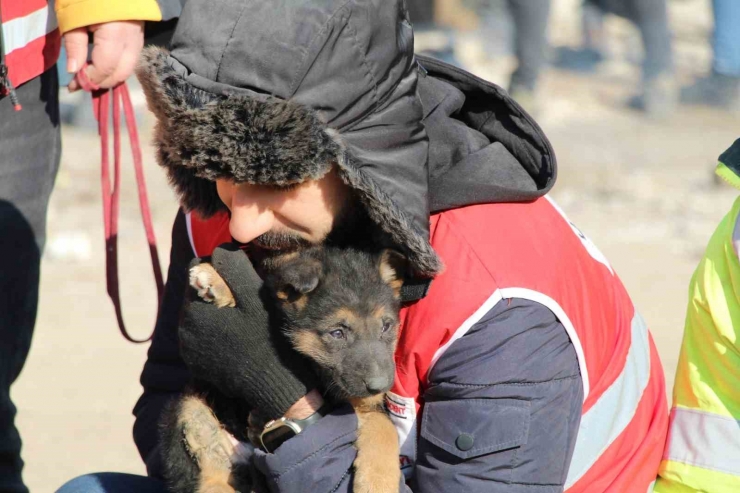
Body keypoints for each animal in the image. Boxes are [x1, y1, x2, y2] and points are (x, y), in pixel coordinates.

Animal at [160, 246, 404, 492]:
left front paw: (378, 482)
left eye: (386, 326)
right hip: (193, 410)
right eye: (337, 333)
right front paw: (216, 280)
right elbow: (261, 292)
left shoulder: (362, 404)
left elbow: (385, 427)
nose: (380, 386)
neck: (314, 367)